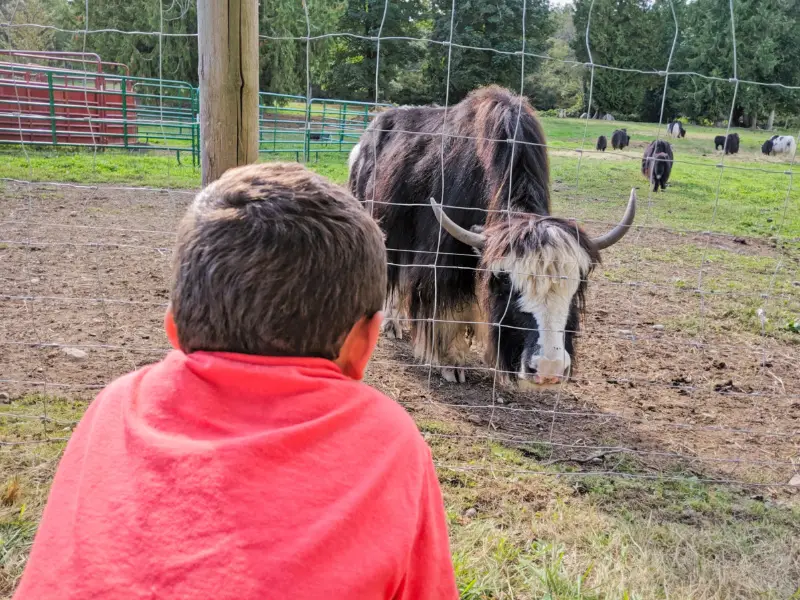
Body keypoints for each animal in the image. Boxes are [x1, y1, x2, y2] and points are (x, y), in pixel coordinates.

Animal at [346, 86, 636, 390]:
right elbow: (450, 309)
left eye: (578, 285)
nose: (548, 369)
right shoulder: (443, 260)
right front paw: (452, 363)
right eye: (506, 282)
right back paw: (392, 326)